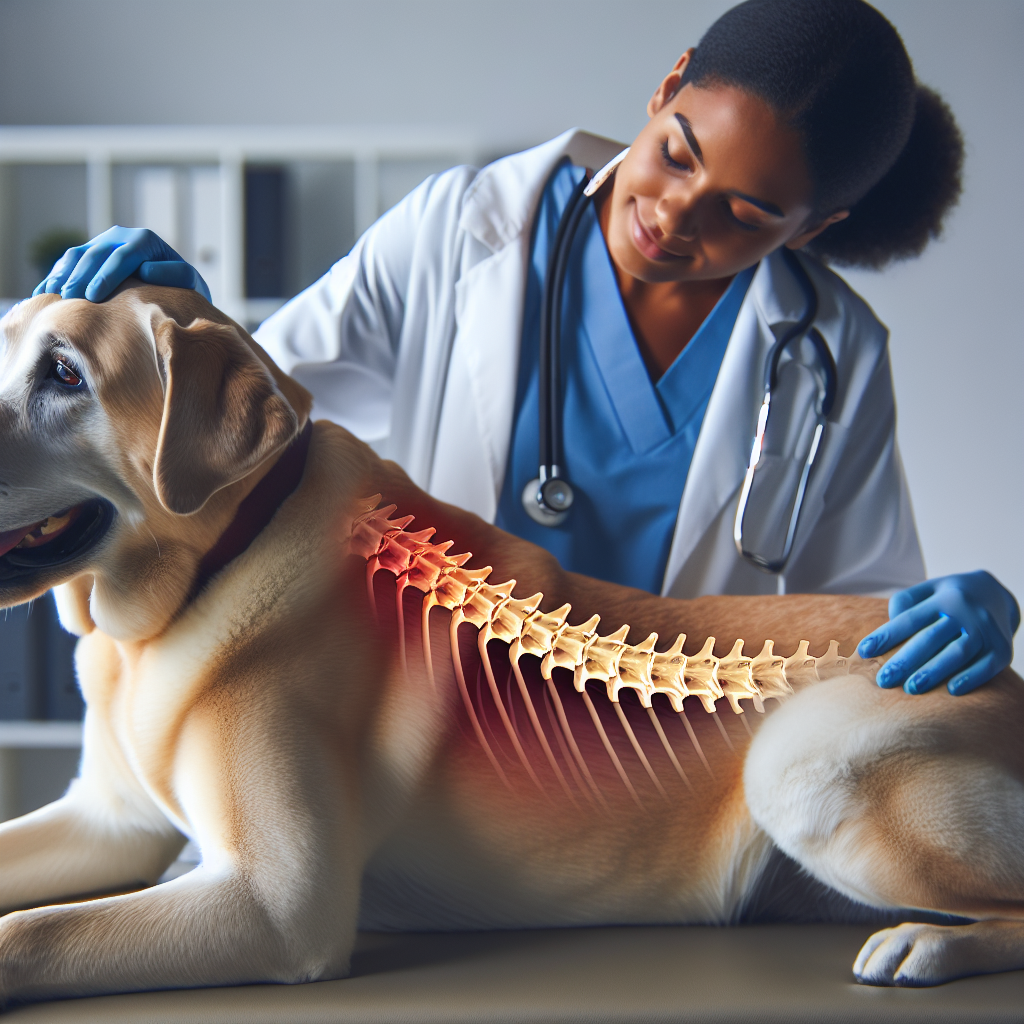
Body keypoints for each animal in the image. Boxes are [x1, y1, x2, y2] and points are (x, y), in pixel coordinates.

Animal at [0, 284, 1019, 1003]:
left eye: (66, 375)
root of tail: (1003, 673)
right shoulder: (108, 823)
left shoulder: (277, 901)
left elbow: (36, 931)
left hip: (801, 762)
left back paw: (929, 943)